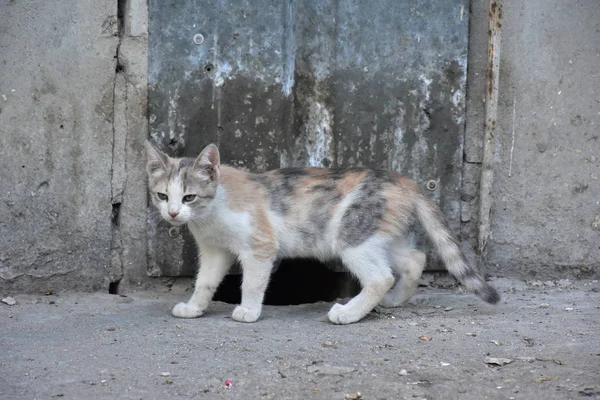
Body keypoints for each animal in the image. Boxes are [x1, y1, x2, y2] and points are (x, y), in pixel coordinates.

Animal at [143, 141, 500, 324]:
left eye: (189, 197)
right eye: (162, 195)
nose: (172, 213)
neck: (212, 212)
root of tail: (402, 179)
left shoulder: (260, 246)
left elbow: (253, 282)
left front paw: (249, 310)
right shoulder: (214, 250)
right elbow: (204, 282)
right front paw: (195, 307)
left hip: (352, 236)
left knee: (381, 276)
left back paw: (349, 313)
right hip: (378, 235)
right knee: (414, 258)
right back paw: (394, 300)